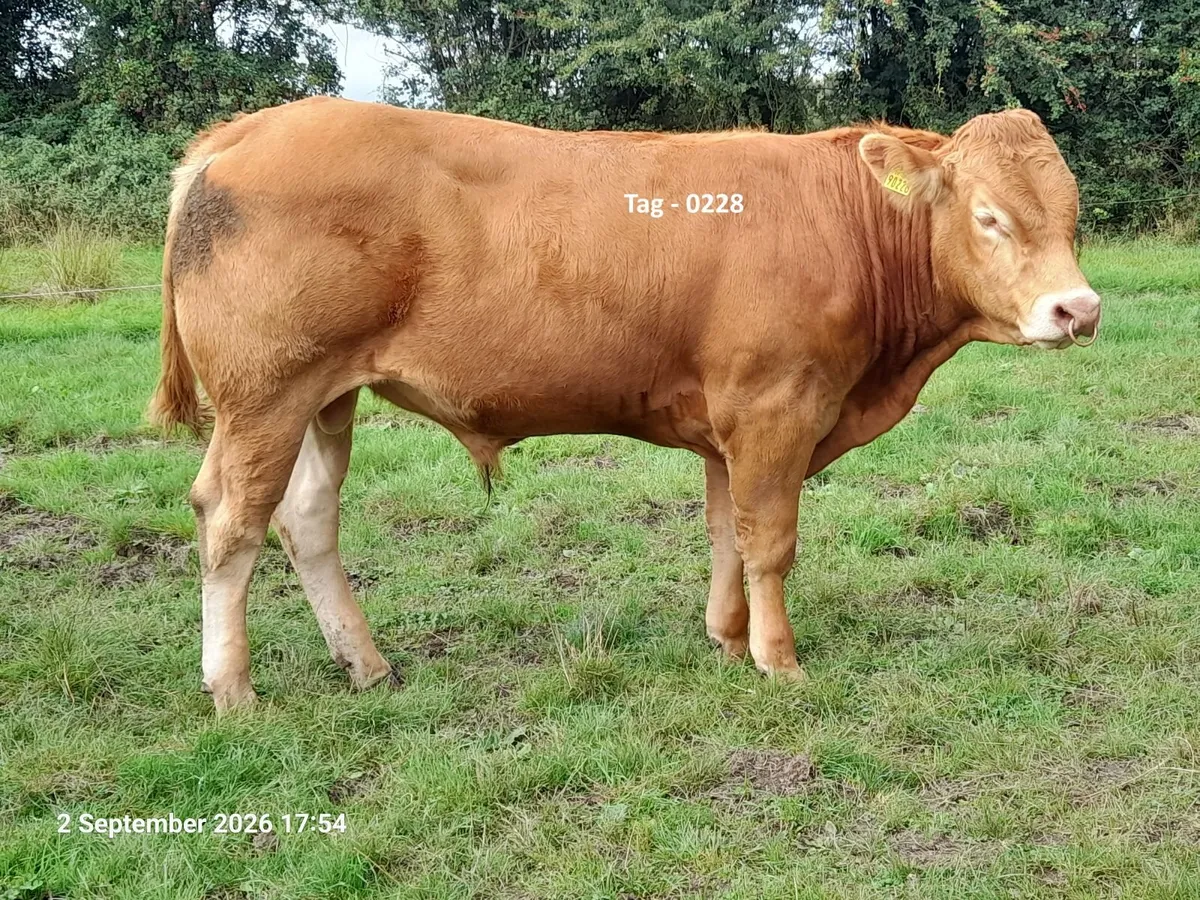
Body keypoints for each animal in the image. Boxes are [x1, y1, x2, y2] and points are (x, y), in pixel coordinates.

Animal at [149, 97, 1101, 713]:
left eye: (1073, 214)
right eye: (990, 217)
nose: (1078, 310)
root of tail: (250, 128)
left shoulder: (728, 423)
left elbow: (726, 533)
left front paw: (727, 639)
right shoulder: (776, 407)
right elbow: (771, 542)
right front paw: (780, 661)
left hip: (325, 397)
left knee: (305, 518)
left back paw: (367, 664)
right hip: (266, 397)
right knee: (229, 522)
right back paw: (234, 689)